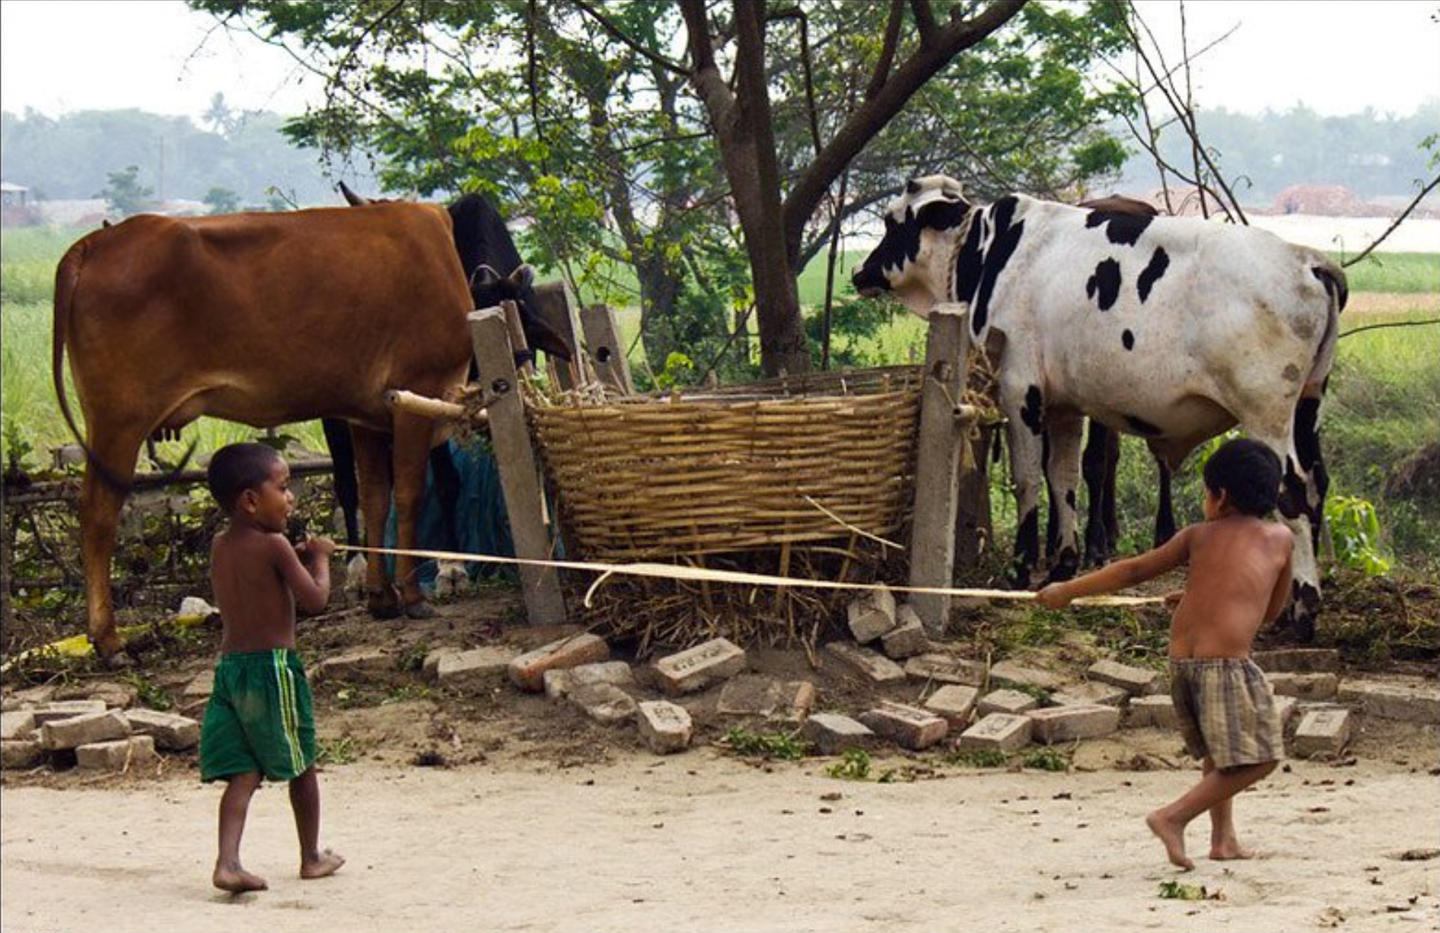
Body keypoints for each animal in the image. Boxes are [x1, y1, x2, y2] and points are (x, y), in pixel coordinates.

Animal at [54, 201, 472, 659]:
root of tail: (98, 241)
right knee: (98, 513)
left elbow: (376, 497)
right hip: (120, 422)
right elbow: (410, 495)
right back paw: (108, 638)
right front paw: (412, 596)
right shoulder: (417, 395)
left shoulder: (367, 416)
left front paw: (382, 596)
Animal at [846, 174, 1342, 636]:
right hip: (1306, 410)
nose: (858, 272)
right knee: (1317, 485)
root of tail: (1308, 259)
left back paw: (1304, 609)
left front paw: (1021, 568)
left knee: (1293, 492)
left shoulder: (1020, 388)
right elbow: (1063, 477)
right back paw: (1292, 603)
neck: (991, 251)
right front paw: (1065, 563)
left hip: (1266, 415)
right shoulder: (1064, 406)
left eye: (892, 220)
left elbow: (1028, 478)